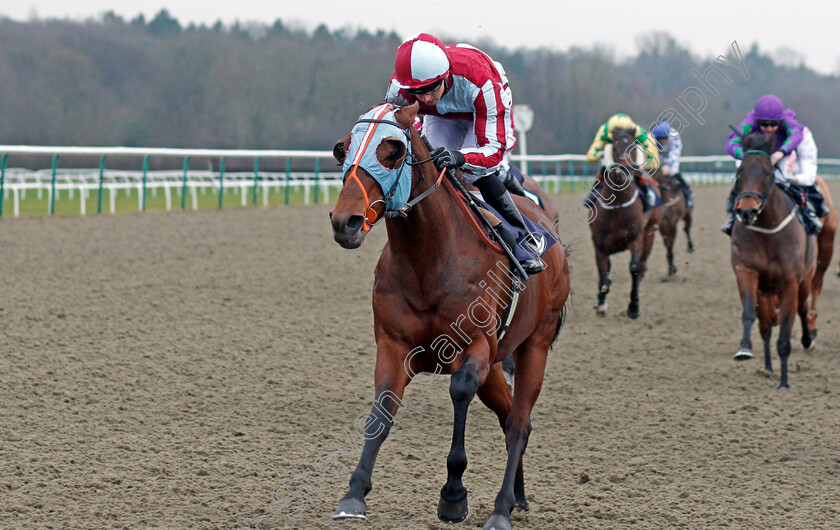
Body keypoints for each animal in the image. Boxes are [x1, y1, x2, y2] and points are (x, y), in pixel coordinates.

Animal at [328, 103, 572, 528]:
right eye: (342, 149)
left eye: (392, 152)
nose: (346, 221)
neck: (429, 259)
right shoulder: (393, 345)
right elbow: (382, 409)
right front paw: (354, 493)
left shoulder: (475, 347)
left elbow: (459, 390)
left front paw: (454, 495)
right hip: (498, 364)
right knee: (508, 416)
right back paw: (518, 497)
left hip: (534, 344)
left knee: (520, 422)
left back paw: (501, 508)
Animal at [592, 128, 664, 318]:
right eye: (614, 146)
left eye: (632, 147)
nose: (624, 168)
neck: (617, 206)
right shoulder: (599, 245)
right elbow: (602, 271)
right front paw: (601, 303)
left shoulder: (636, 239)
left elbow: (634, 268)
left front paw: (633, 306)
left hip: (650, 233)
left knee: (643, 265)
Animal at [728, 131, 832, 388]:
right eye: (740, 172)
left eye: (768, 172)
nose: (747, 211)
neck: (767, 231)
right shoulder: (746, 271)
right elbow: (750, 313)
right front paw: (744, 349)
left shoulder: (789, 282)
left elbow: (786, 330)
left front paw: (784, 381)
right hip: (765, 290)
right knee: (766, 325)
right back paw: (767, 365)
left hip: (805, 278)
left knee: (803, 308)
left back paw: (807, 339)